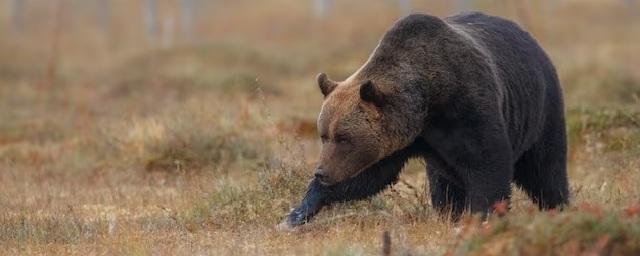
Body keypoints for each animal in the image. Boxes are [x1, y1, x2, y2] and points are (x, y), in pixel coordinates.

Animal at [282, 12, 568, 228]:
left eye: (343, 137)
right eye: (323, 135)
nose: (321, 172)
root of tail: (529, 38)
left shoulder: (468, 109)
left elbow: (488, 164)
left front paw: (483, 217)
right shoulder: (401, 139)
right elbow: (368, 176)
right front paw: (296, 213)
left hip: (541, 109)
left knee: (546, 169)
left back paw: (559, 206)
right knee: (443, 184)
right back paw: (448, 213)